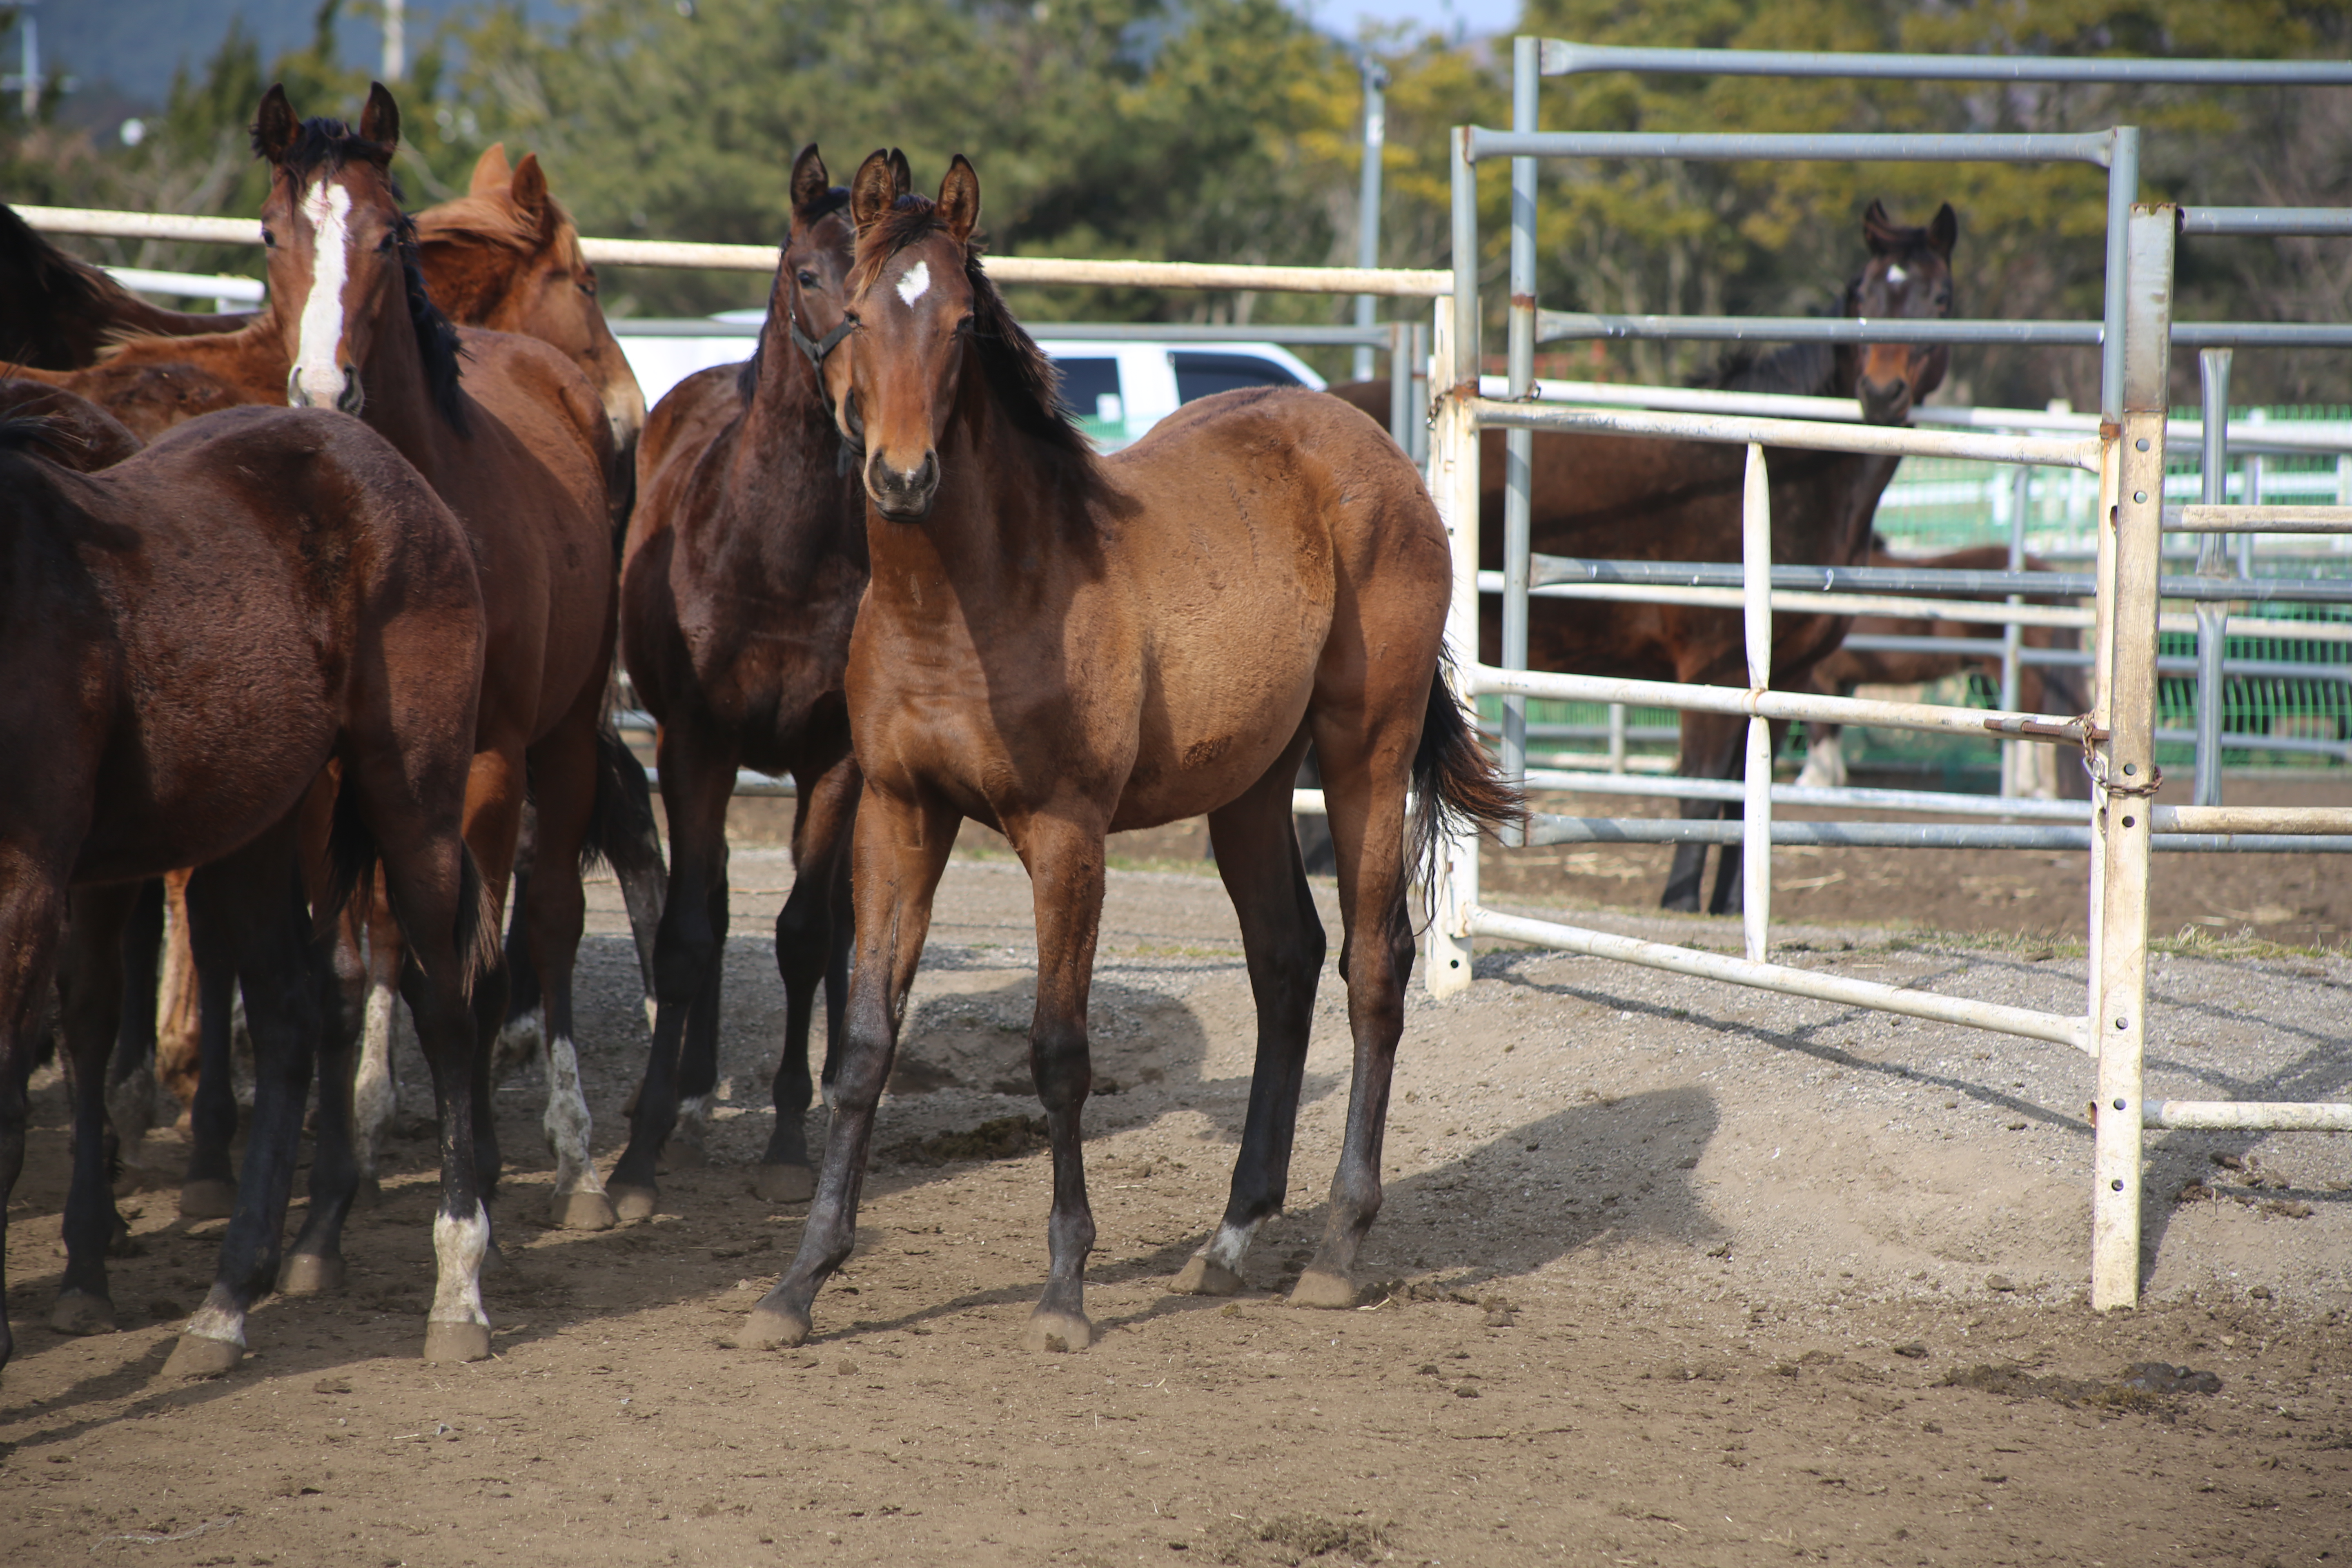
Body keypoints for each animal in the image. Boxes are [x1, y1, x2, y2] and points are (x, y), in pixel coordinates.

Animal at [0, 399, 491, 1382]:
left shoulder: (29, 883)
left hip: (412, 799)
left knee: (443, 1008)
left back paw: (458, 1288)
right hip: (254, 822)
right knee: (292, 1014)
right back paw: (225, 1303)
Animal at [611, 141, 880, 1213]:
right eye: (807, 274)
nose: (864, 411)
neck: (777, 549)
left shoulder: (836, 757)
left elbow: (806, 933)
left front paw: (793, 1135)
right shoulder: (698, 742)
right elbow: (686, 936)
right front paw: (635, 1159)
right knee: (712, 902)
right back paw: (685, 1096)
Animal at [738, 156, 1524, 1363]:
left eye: (962, 323)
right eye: (849, 307)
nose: (904, 479)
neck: (967, 601)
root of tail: (1369, 447)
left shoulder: (1067, 834)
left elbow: (1060, 1051)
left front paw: (1064, 1290)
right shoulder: (901, 813)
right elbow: (864, 1045)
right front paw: (798, 1284)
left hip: (1364, 753)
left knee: (1373, 965)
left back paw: (1337, 1250)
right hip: (1250, 785)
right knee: (1286, 960)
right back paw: (1232, 1238)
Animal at [1336, 202, 1957, 912]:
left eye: (1940, 298)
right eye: (1865, 296)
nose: (1883, 391)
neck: (1784, 476)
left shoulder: (1787, 678)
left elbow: (1750, 797)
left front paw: (1732, 905)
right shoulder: (1715, 670)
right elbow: (1703, 789)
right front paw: (1682, 900)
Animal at [1797, 545, 2098, 804]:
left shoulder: (1820, 676)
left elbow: (1819, 727)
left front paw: (1813, 779)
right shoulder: (1839, 681)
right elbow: (1830, 721)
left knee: (2034, 717)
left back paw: (2030, 787)